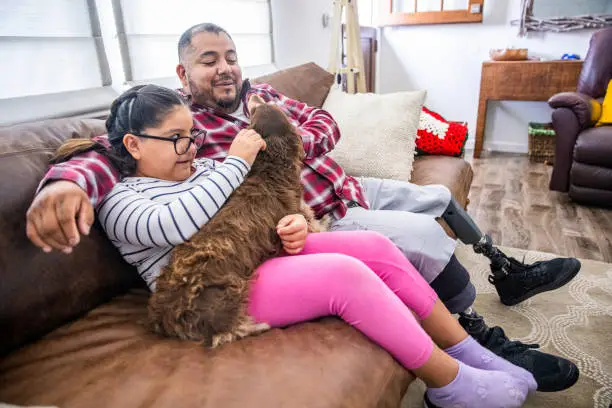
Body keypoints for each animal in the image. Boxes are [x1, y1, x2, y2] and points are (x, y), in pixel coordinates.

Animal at [148, 96, 322, 348]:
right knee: (227, 332)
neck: (270, 168)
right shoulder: (298, 209)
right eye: (257, 108)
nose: (254, 94)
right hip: (227, 293)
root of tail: (166, 314)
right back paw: (257, 326)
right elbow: (310, 219)